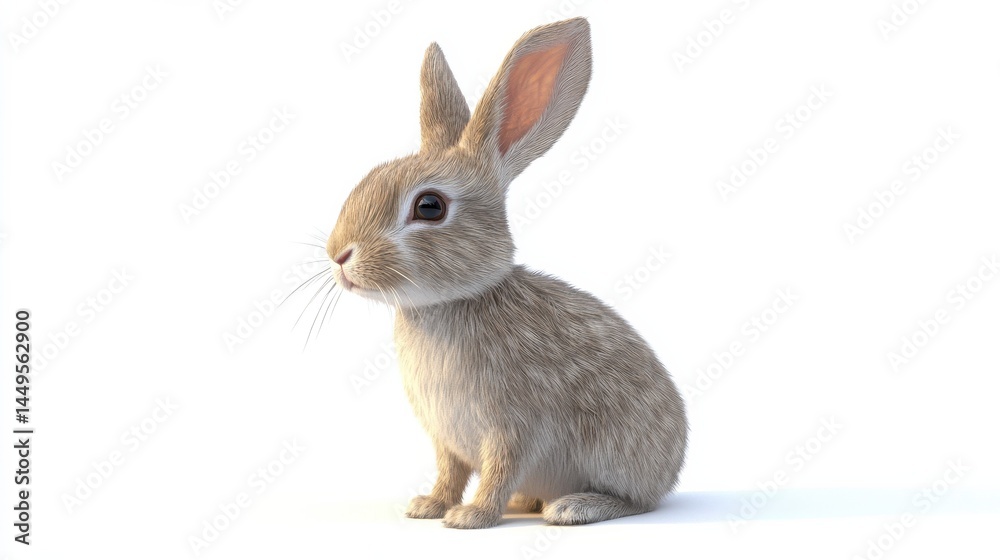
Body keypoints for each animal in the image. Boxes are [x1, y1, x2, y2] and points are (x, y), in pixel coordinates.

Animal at [326, 17, 687, 529]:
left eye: (429, 206)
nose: (338, 255)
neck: (450, 301)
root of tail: (673, 466)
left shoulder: (514, 425)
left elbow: (499, 468)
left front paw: (471, 517)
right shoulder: (445, 437)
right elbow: (450, 470)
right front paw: (429, 506)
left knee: (638, 501)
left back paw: (573, 506)